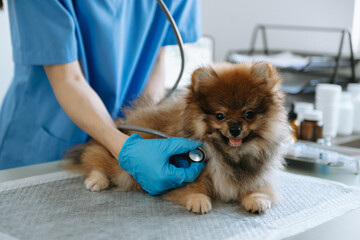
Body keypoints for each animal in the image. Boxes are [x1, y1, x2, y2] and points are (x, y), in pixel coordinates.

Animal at [66, 62, 292, 214]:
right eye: (220, 115)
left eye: (248, 114)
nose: (235, 128)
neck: (228, 154)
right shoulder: (185, 171)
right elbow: (194, 187)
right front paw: (198, 200)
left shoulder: (256, 173)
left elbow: (258, 188)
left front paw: (257, 199)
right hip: (115, 159)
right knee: (96, 161)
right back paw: (97, 180)